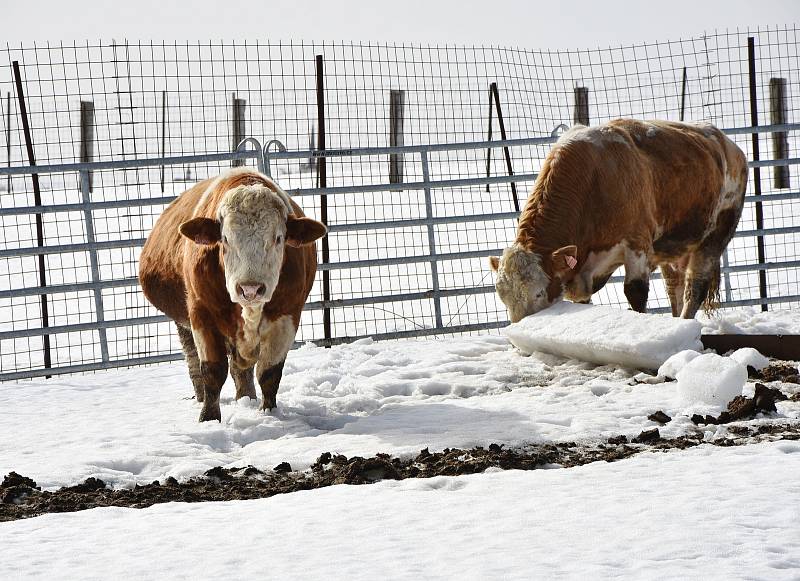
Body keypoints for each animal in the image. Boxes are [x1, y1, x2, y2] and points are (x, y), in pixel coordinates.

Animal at [139, 168, 326, 422]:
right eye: (225, 239)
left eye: (278, 238)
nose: (250, 289)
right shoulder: (201, 313)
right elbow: (213, 371)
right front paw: (208, 418)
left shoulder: (287, 315)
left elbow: (269, 372)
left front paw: (268, 412)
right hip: (183, 324)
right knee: (193, 360)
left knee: (242, 370)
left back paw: (246, 398)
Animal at [490, 118, 748, 322]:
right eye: (502, 297)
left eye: (538, 293)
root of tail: (728, 144)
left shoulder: (637, 245)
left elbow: (635, 293)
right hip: (671, 247)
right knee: (674, 286)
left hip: (716, 235)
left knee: (695, 289)